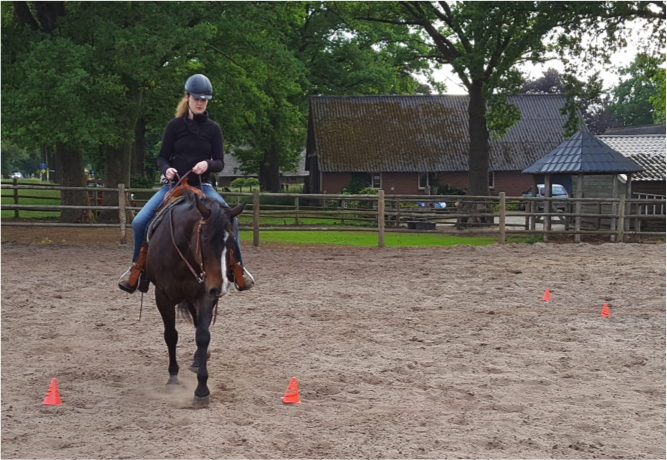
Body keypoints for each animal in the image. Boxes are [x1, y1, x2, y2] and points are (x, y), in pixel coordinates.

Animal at [144, 188, 246, 405]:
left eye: (232, 242)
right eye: (205, 240)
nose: (220, 287)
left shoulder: (204, 296)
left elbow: (203, 335)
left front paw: (201, 390)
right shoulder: (162, 296)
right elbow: (171, 335)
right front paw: (173, 378)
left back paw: (199, 359)